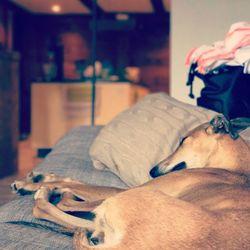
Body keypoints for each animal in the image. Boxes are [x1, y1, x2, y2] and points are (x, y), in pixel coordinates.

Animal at [11, 116, 250, 249]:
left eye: (183, 140)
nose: (151, 171)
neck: (235, 169)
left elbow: (77, 186)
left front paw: (32, 184)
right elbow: (74, 179)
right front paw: (39, 178)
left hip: (130, 197)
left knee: (56, 205)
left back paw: (46, 193)